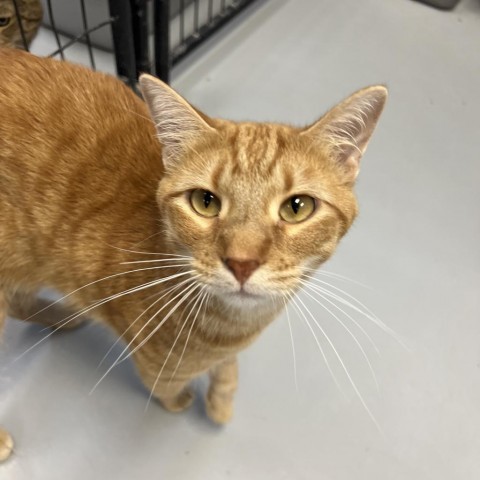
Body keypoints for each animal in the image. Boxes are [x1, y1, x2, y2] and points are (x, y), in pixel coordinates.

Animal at [0, 48, 386, 462]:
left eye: (297, 207)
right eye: (205, 202)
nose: (242, 262)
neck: (229, 326)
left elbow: (226, 369)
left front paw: (221, 398)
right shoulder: (145, 345)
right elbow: (163, 380)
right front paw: (180, 399)